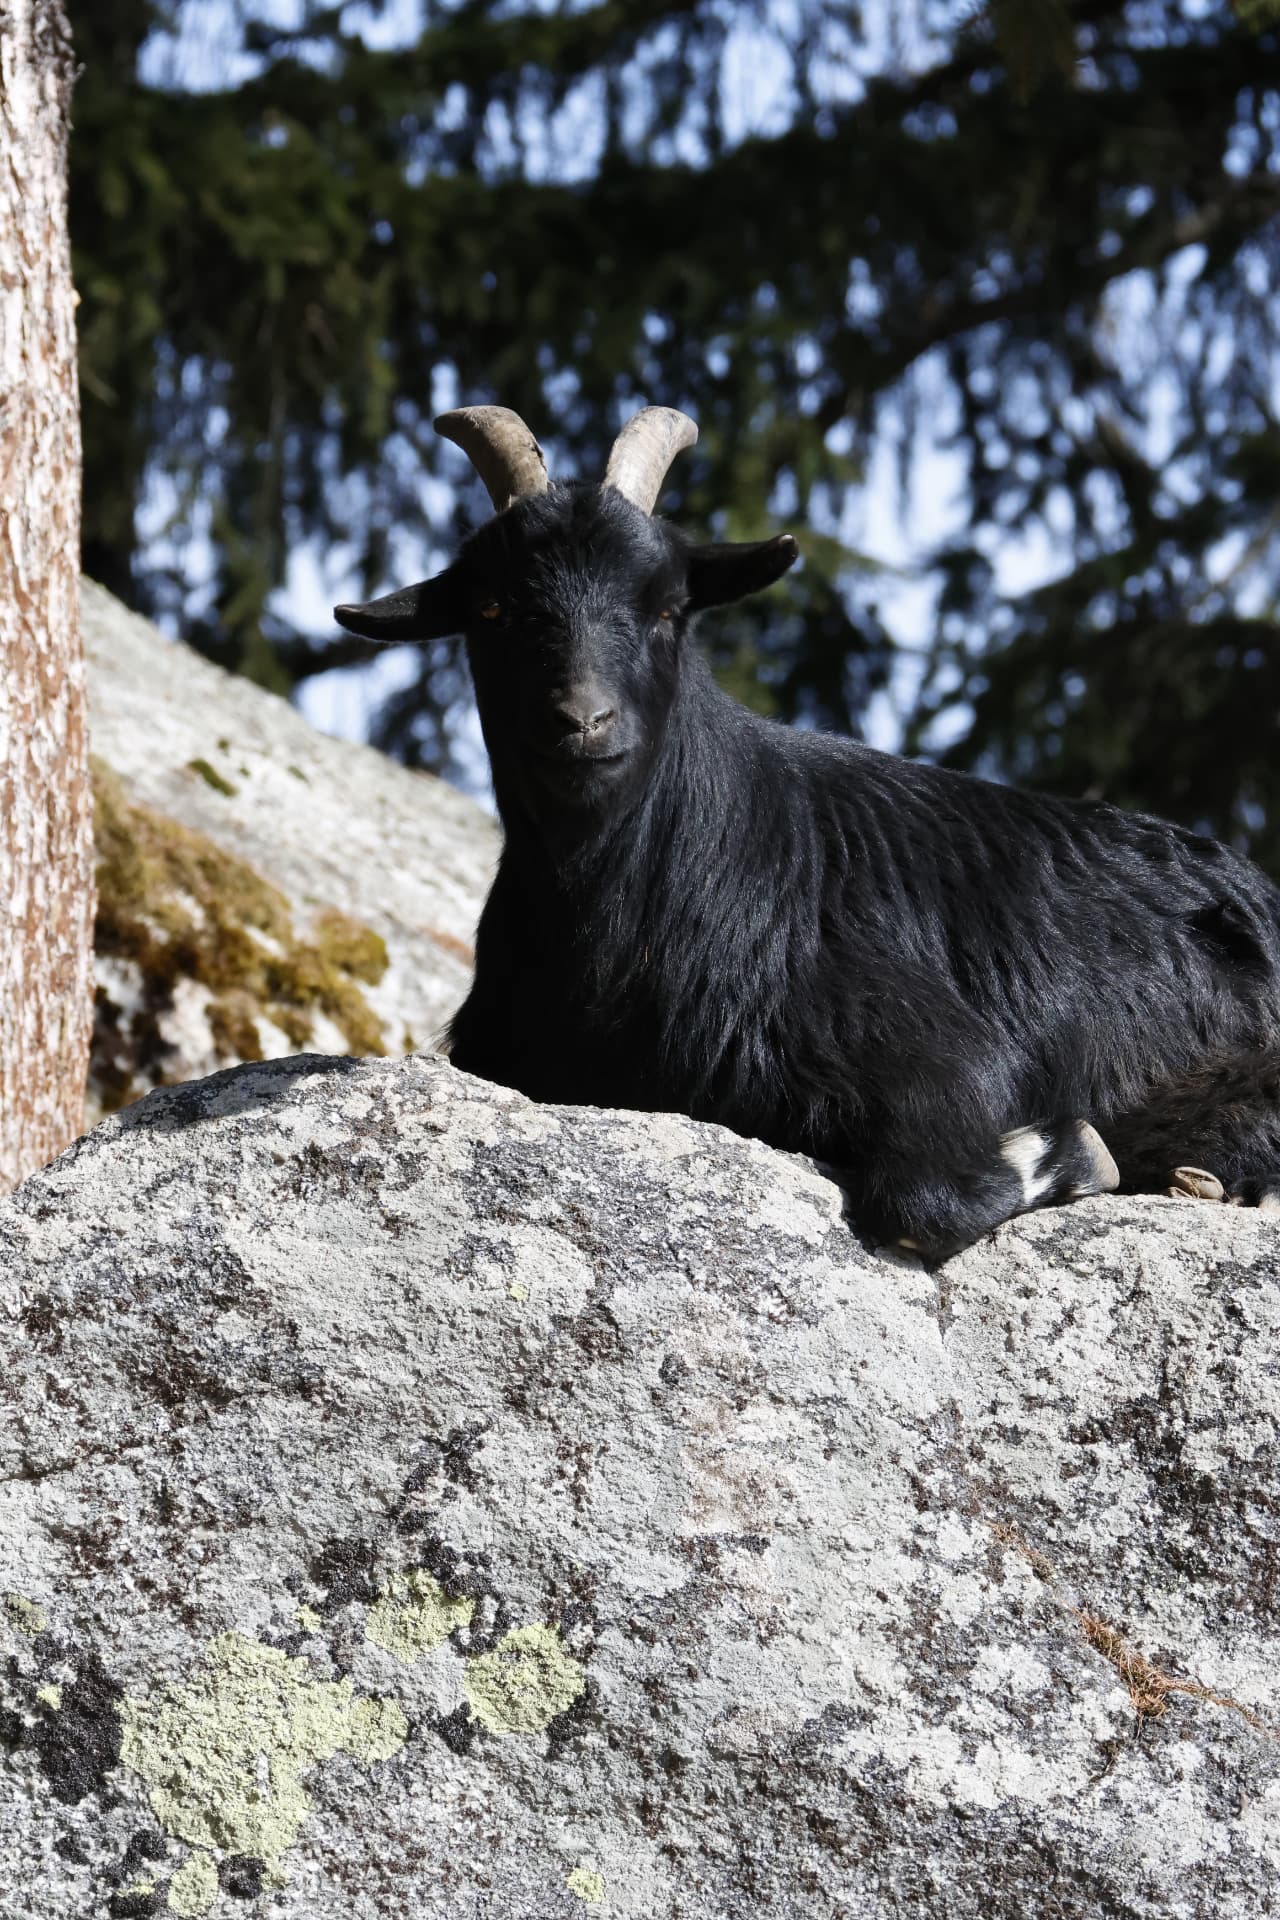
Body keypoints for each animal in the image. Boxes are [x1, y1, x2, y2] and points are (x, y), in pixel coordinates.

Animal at [335, 404, 1280, 1257]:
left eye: (669, 607)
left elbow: (927, 1199)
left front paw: (1078, 1149)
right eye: (493, 609)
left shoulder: (944, 1054)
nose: (585, 721)